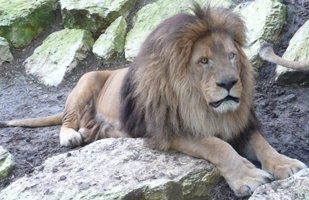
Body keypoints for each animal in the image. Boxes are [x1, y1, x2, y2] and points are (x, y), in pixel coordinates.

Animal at [1, 3, 306, 196]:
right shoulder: (169, 130)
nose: (230, 83)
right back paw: (71, 136)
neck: (201, 105)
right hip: (85, 80)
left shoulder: (239, 124)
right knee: (67, 119)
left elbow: (262, 144)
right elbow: (217, 146)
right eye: (203, 61)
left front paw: (285, 164)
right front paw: (248, 176)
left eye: (231, 56)